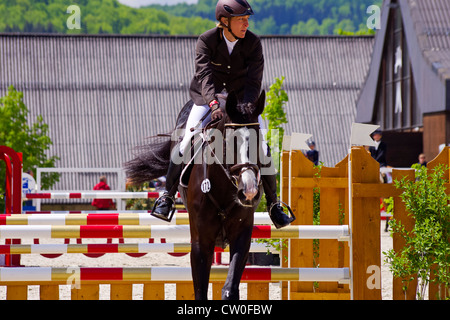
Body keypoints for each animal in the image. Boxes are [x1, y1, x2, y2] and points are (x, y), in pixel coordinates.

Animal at [125, 90, 268, 300]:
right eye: (229, 142)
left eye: (259, 143)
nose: (249, 191)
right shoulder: (201, 242)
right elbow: (200, 291)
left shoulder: (241, 236)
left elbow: (230, 289)